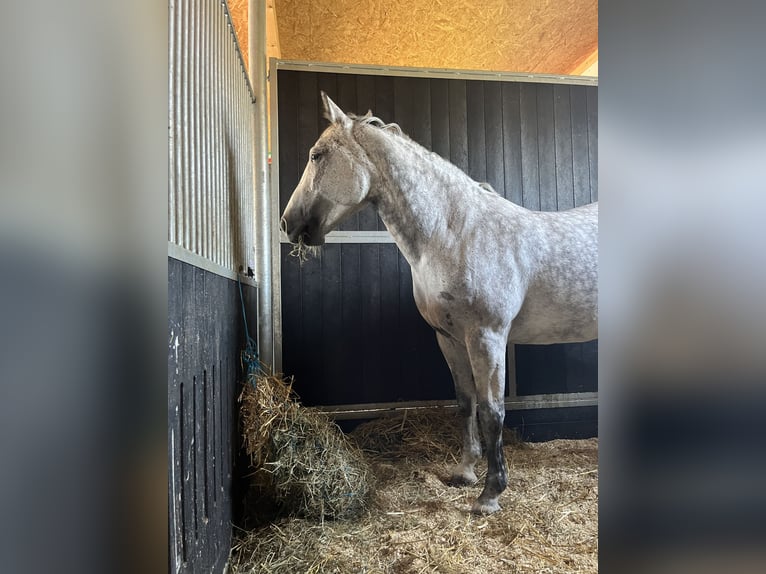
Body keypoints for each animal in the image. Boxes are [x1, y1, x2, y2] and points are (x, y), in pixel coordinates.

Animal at [280, 92, 598, 515]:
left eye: (316, 155)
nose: (288, 223)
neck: (457, 235)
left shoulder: (486, 337)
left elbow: (492, 411)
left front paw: (490, 495)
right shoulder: (448, 338)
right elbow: (465, 403)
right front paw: (464, 473)